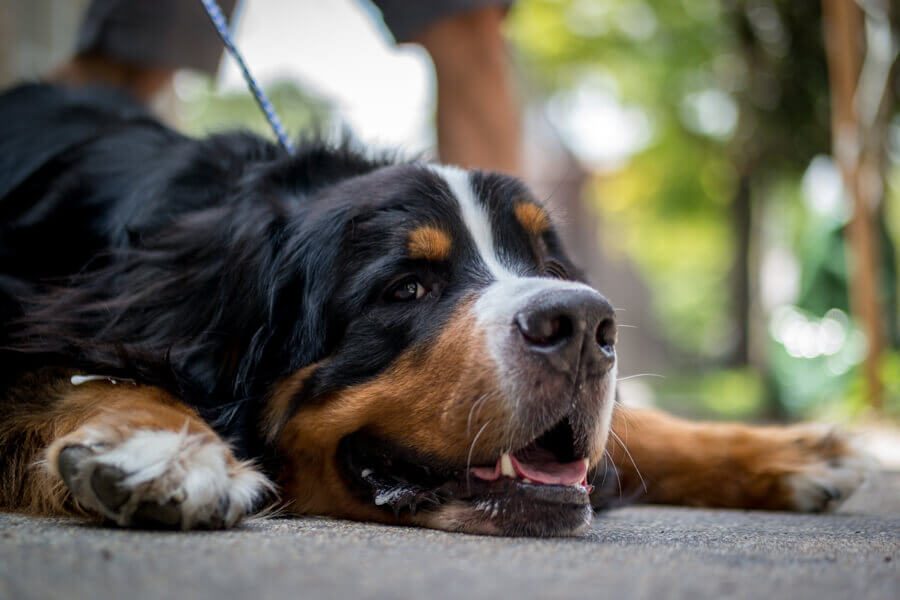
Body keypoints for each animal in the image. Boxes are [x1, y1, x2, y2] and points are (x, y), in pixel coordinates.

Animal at [0, 83, 872, 536]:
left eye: (547, 267)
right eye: (406, 288)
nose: (585, 329)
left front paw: (785, 451)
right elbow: (83, 370)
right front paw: (164, 445)